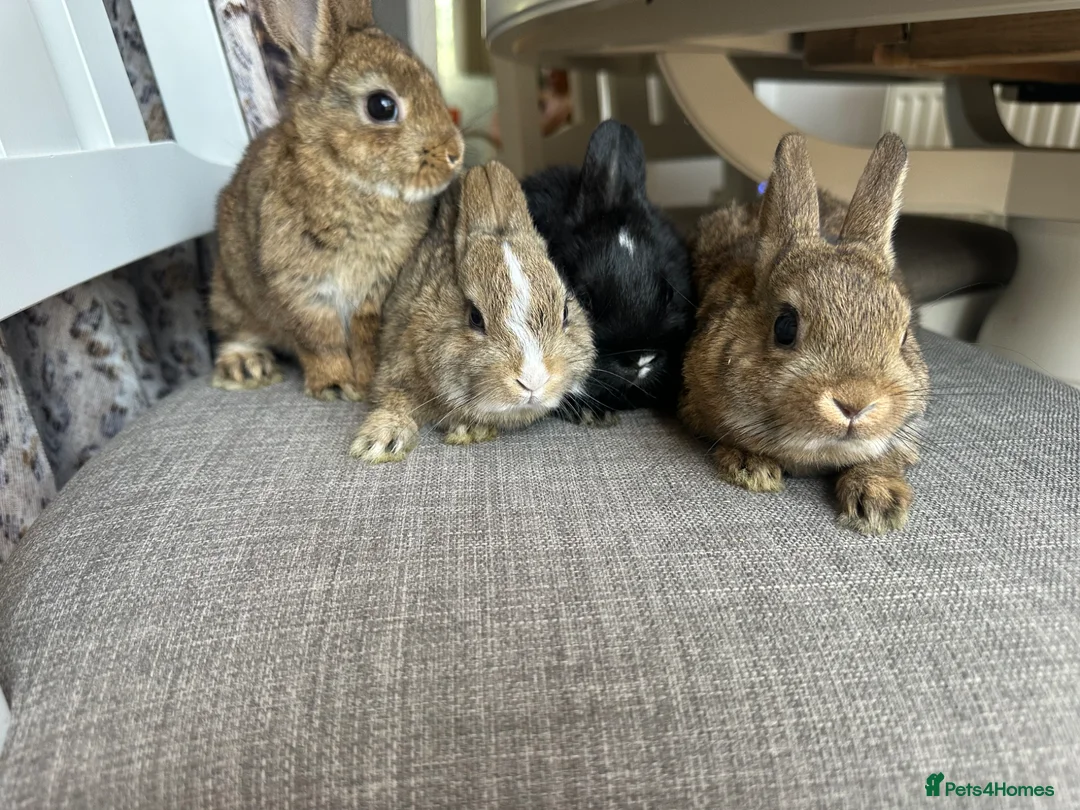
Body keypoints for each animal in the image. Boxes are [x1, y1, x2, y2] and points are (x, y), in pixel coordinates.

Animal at [210, 0, 464, 401]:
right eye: (381, 106)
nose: (455, 153)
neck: (345, 173)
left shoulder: (375, 291)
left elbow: (363, 335)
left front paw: (365, 381)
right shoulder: (301, 288)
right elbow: (320, 339)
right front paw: (333, 384)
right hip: (230, 293)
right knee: (235, 331)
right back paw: (246, 366)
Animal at [349, 161, 595, 463]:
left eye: (565, 312)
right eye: (474, 317)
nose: (533, 381)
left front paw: (470, 430)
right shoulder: (396, 363)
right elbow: (393, 400)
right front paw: (378, 444)